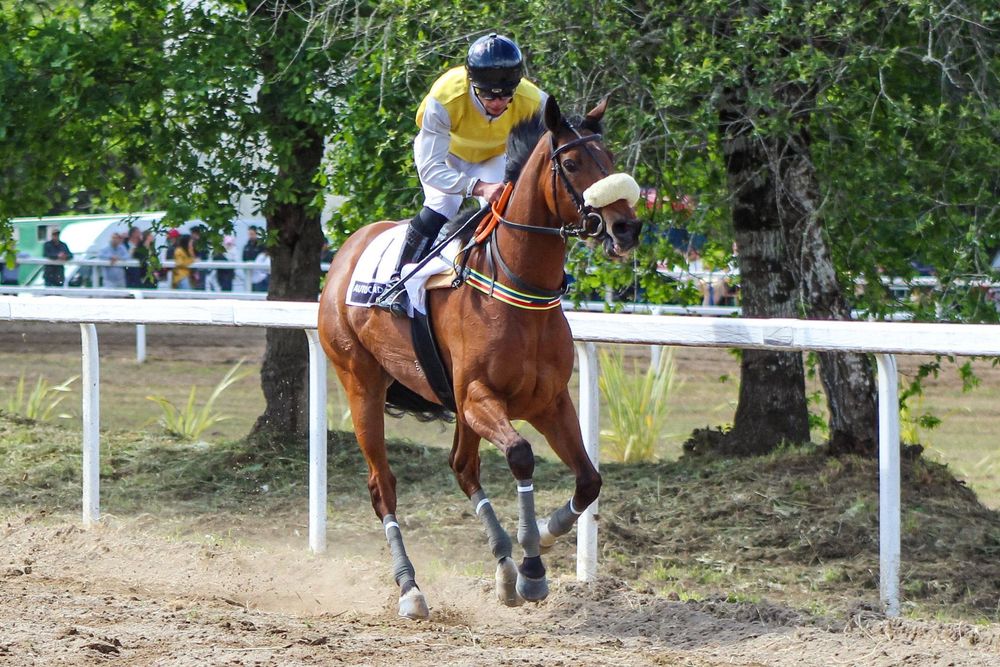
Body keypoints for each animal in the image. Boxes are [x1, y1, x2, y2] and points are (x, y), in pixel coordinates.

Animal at [317, 95, 643, 619]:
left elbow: (589, 480)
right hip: (361, 383)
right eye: (572, 163)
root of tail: (347, 250)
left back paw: (503, 565)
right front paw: (533, 568)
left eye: (609, 158)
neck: (517, 286)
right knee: (382, 485)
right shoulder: (477, 397)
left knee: (462, 466)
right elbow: (521, 455)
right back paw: (411, 588)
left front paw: (542, 541)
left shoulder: (549, 401)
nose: (626, 226)